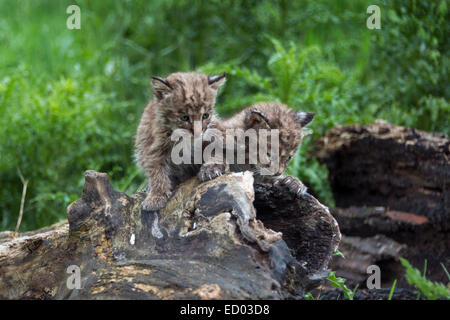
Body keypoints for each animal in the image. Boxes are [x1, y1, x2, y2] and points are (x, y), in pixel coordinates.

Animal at [134, 71, 225, 211]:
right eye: (184, 118)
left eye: (205, 116)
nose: (198, 134)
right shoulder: (154, 146)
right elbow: (156, 171)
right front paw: (156, 196)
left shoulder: (214, 129)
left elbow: (218, 149)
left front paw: (211, 168)